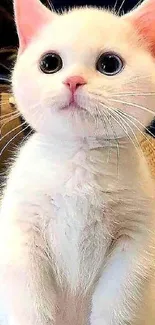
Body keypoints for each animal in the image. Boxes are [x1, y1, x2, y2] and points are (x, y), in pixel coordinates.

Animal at [0, 0, 155, 322]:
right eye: (50, 63)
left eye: (110, 64)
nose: (74, 81)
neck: (79, 160)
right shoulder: (21, 234)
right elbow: (28, 302)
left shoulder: (135, 240)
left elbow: (117, 304)